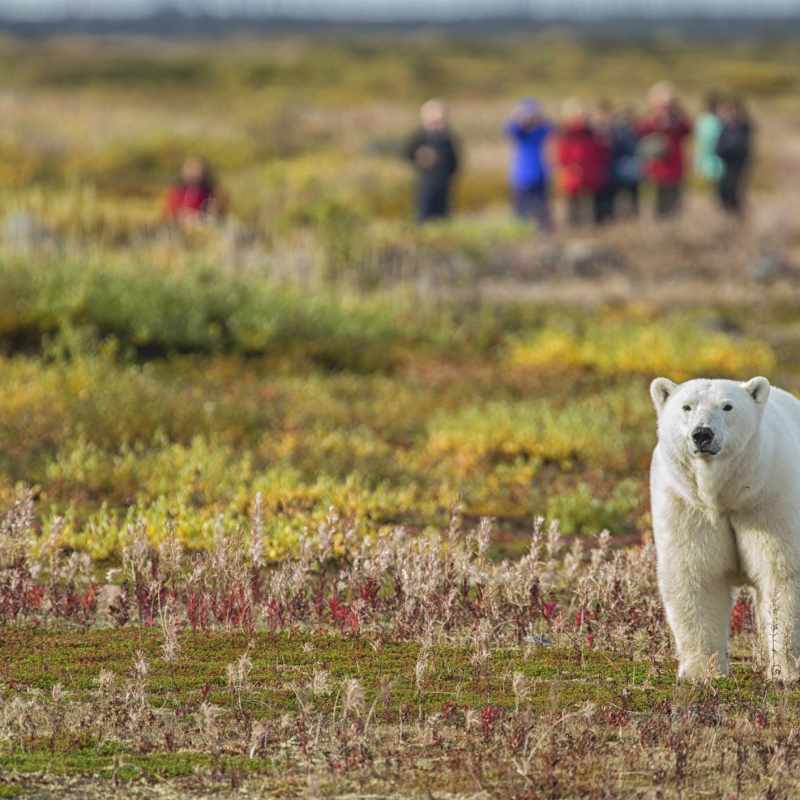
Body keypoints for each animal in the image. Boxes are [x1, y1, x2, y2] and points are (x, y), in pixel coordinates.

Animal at [650, 375, 800, 681]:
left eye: (727, 406)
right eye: (687, 406)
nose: (702, 434)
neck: (727, 495)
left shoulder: (769, 500)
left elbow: (781, 574)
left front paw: (785, 671)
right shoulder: (688, 506)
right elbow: (696, 575)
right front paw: (701, 672)